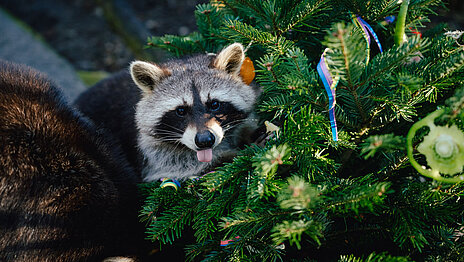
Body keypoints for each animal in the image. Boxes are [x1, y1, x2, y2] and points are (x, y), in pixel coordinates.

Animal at [74, 43, 260, 182]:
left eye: (214, 104)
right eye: (181, 111)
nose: (205, 141)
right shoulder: (145, 148)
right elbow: (174, 165)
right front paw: (224, 157)